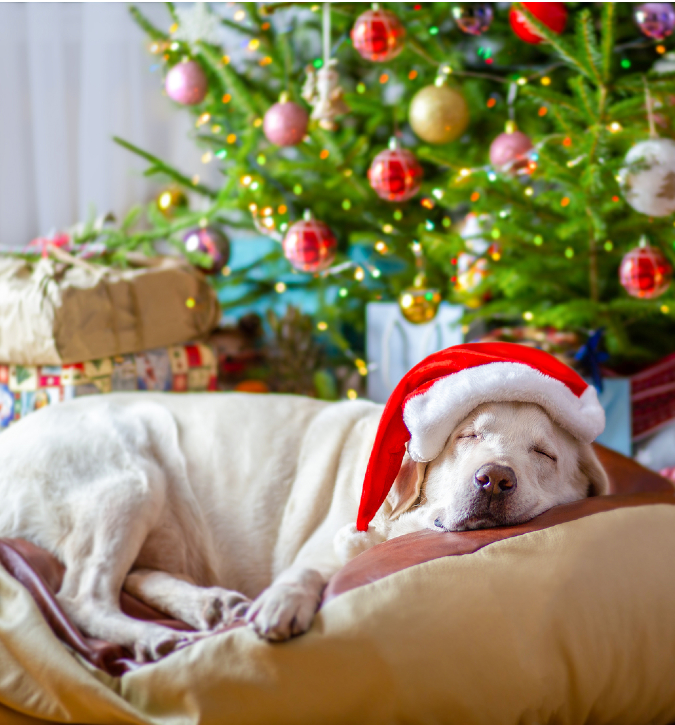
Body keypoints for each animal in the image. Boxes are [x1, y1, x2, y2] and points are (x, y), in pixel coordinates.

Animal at [0, 360, 608, 660]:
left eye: (544, 454)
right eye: (468, 435)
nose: (494, 478)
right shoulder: (324, 540)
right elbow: (306, 570)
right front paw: (283, 603)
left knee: (129, 577)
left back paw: (206, 605)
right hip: (131, 477)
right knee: (80, 596)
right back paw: (152, 634)